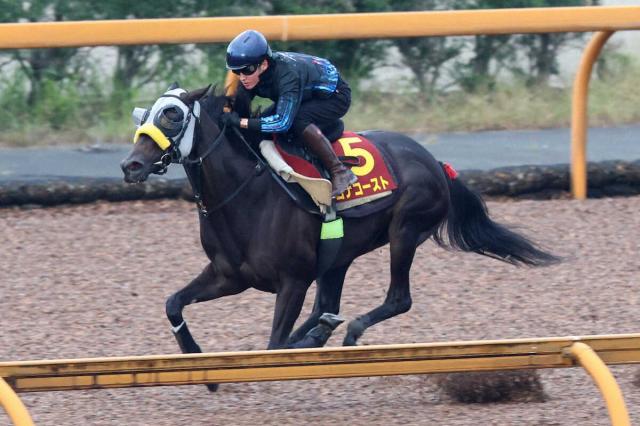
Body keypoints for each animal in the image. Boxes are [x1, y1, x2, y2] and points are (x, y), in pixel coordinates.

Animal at [121, 82, 560, 386]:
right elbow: (174, 303)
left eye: (172, 115)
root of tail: (435, 162)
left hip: (405, 230)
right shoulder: (229, 275)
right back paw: (323, 328)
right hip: (340, 257)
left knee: (397, 299)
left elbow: (274, 344)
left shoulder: (293, 280)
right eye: (142, 115)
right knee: (327, 306)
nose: (131, 165)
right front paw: (196, 359)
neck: (247, 192)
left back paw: (346, 329)